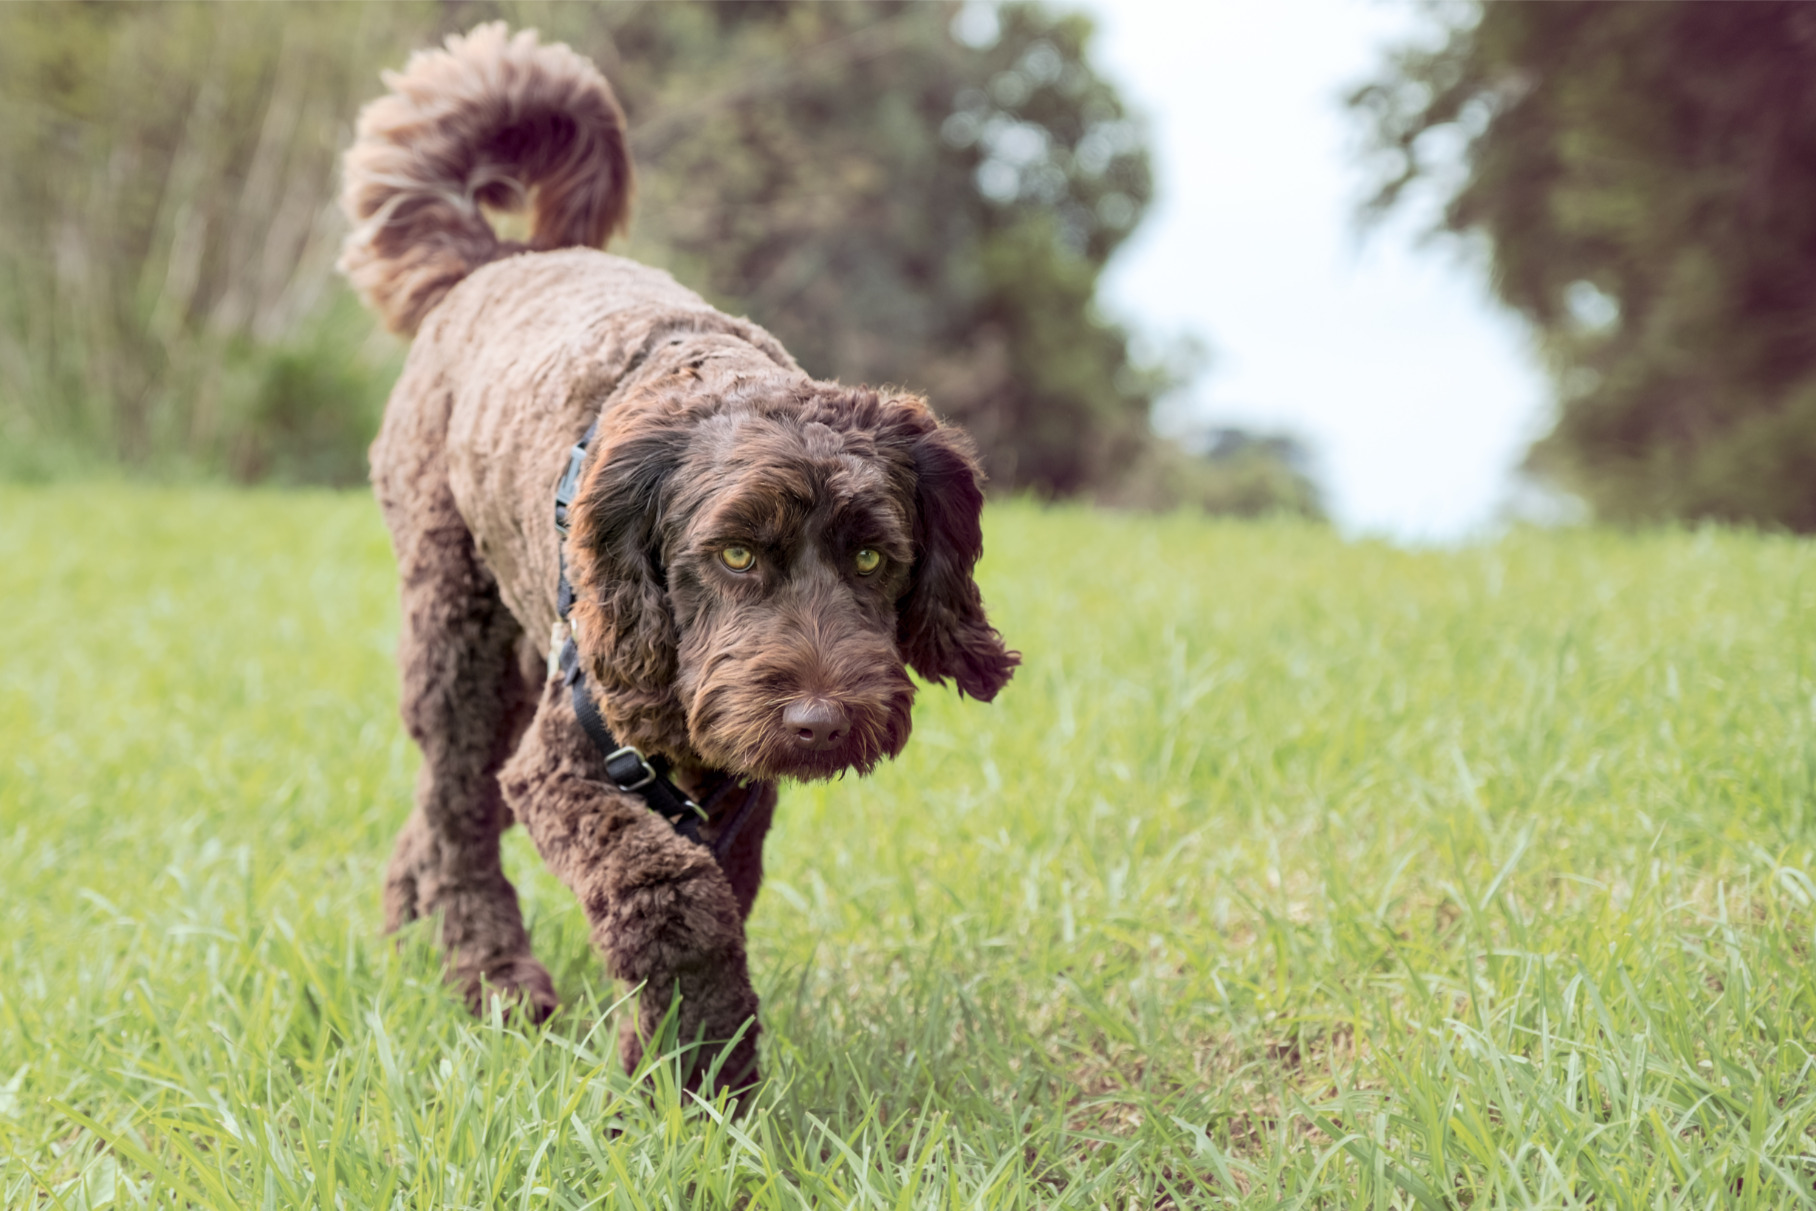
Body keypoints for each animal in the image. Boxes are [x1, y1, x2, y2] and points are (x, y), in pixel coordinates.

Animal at [337, 23, 1024, 1096]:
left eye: (874, 559)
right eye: (735, 551)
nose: (820, 722)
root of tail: (502, 258)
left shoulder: (739, 780)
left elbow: (717, 893)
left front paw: (685, 1066)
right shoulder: (573, 763)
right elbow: (671, 896)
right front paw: (689, 1084)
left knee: (448, 801)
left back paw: (411, 927)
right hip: (455, 624)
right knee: (456, 801)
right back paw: (491, 977)